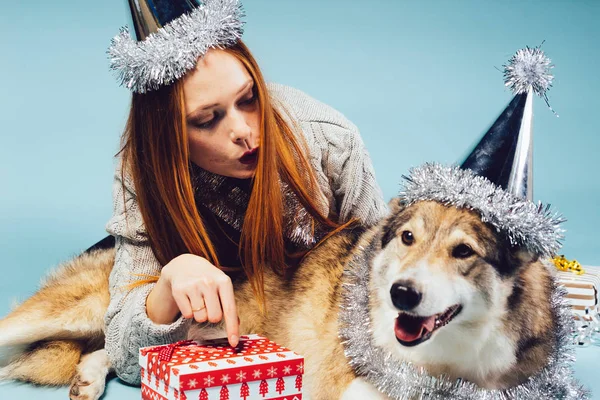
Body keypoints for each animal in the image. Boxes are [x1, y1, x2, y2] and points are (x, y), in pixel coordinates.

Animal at [0, 198, 556, 398]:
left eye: (463, 251)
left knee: (108, 350)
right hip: (69, 311)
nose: (402, 293)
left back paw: (87, 381)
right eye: (407, 239)